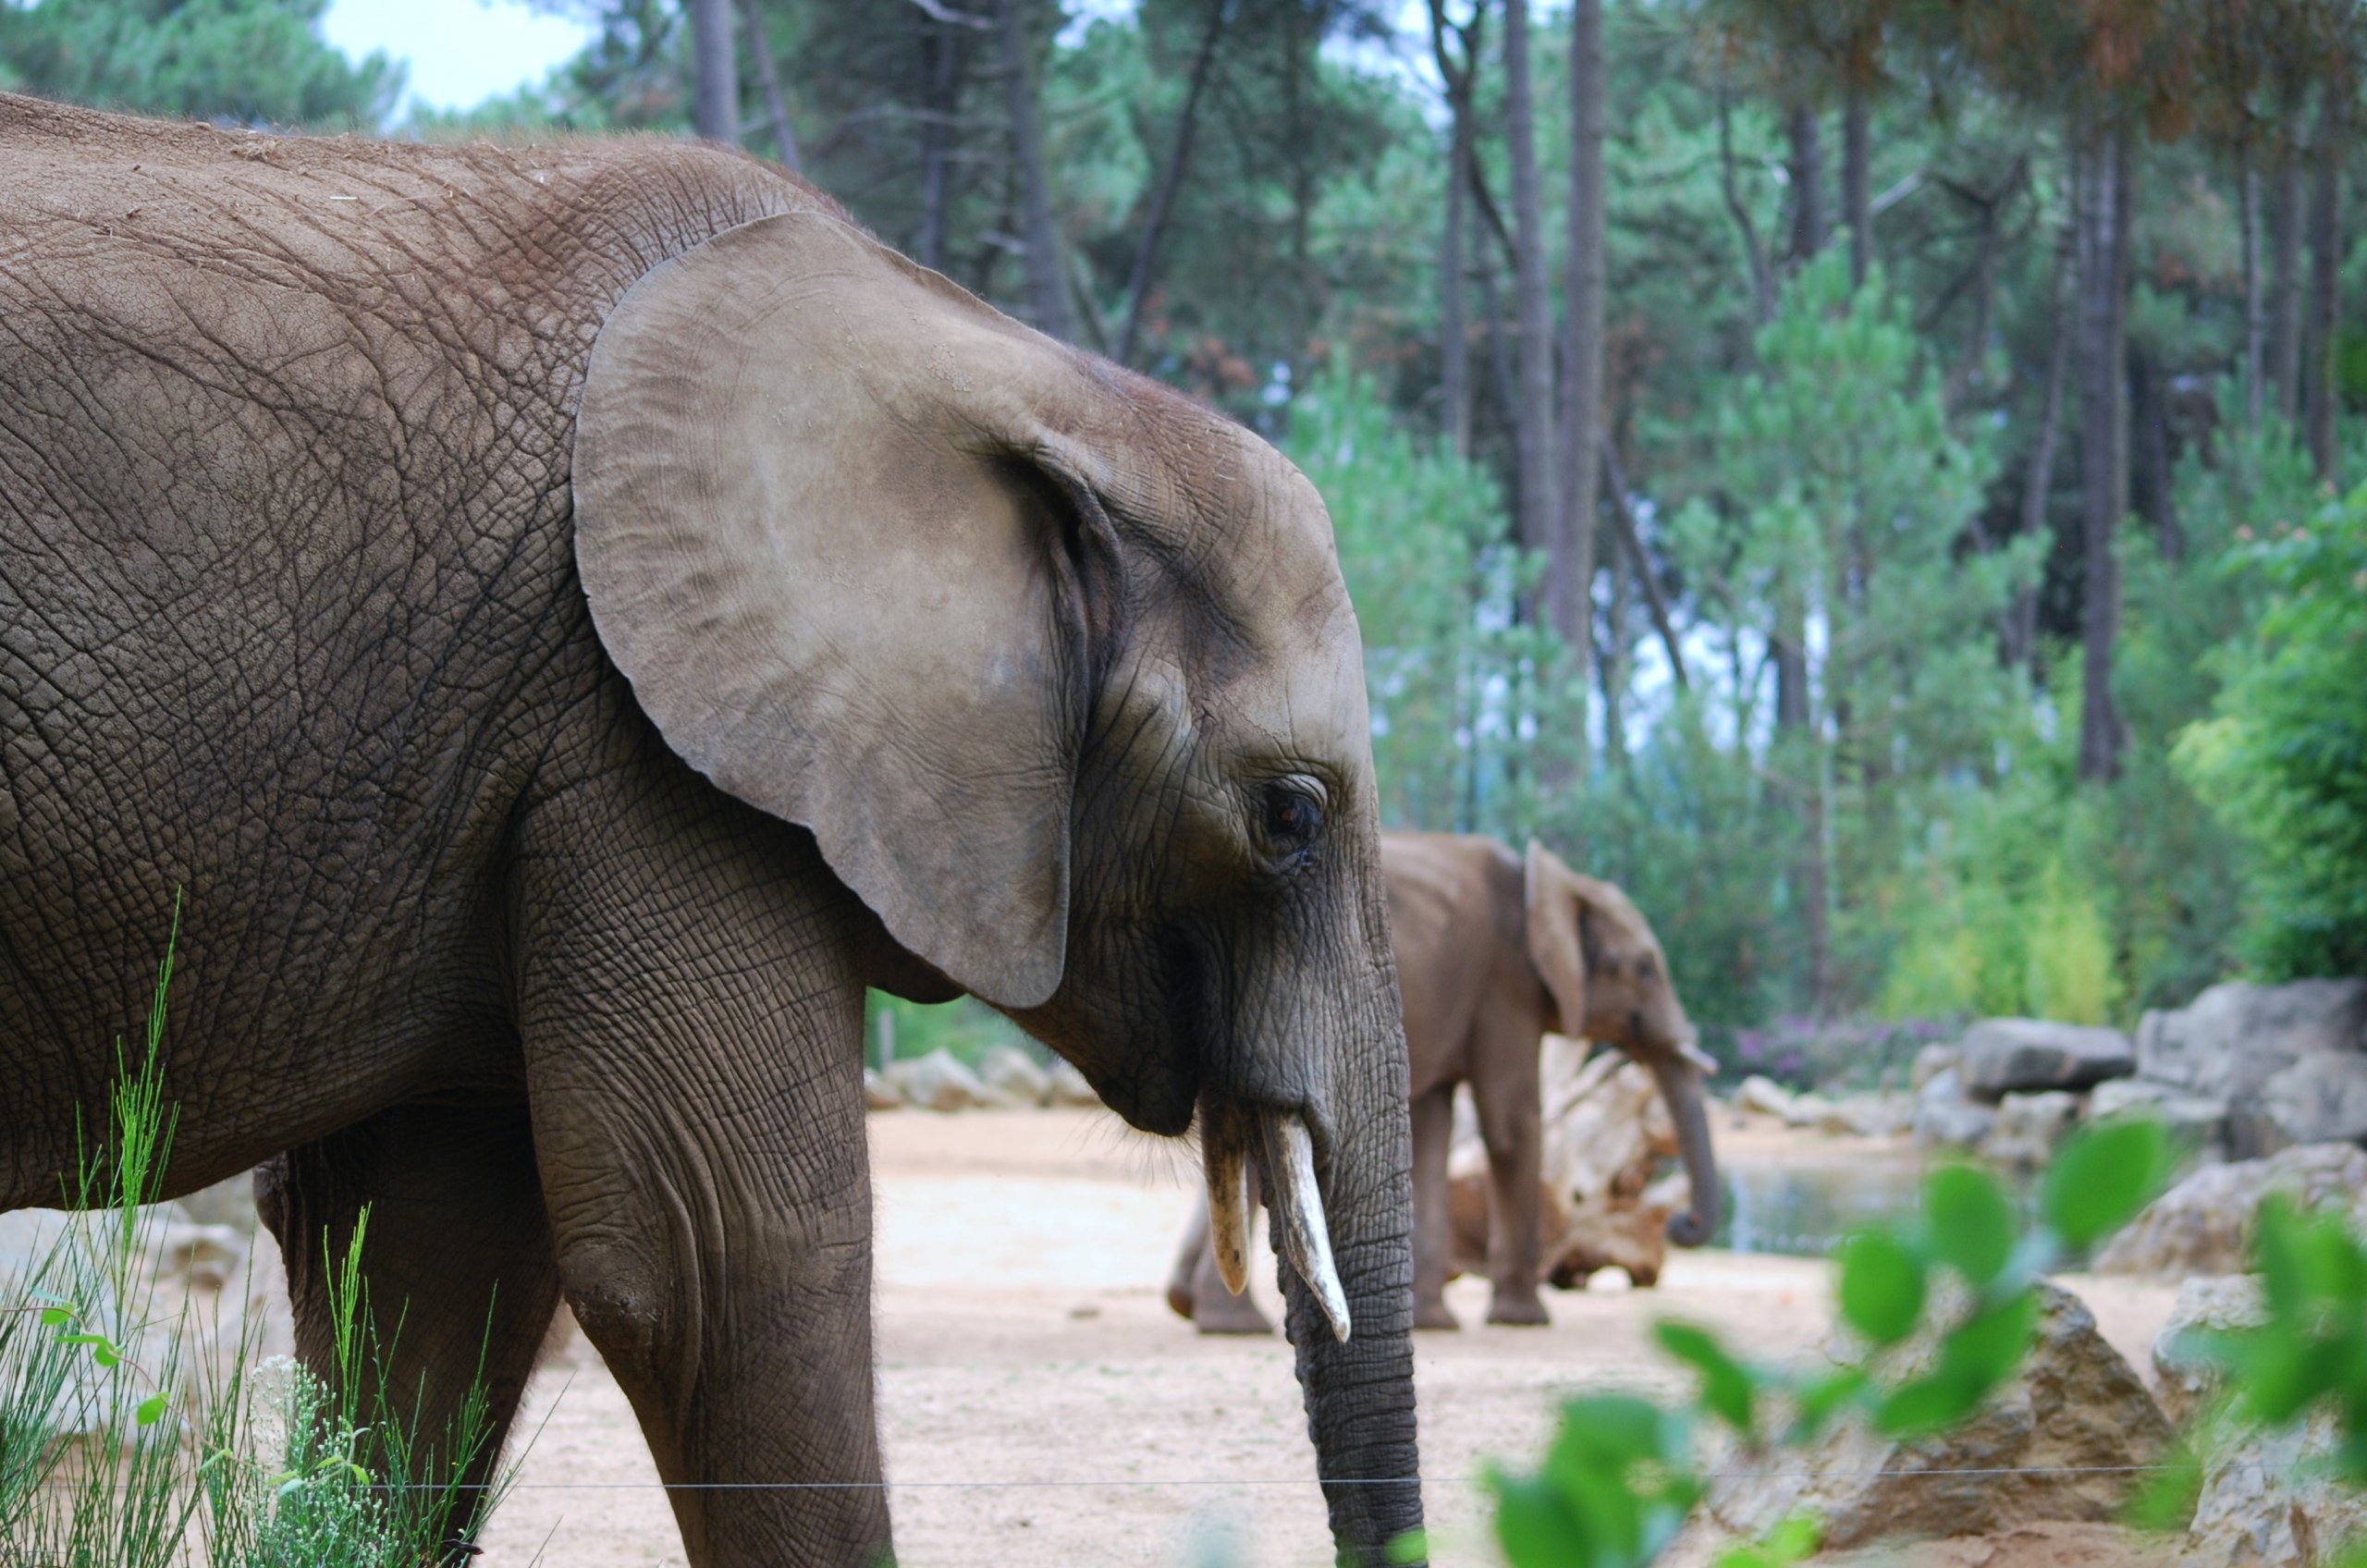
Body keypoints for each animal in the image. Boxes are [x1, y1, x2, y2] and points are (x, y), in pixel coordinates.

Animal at [0, 98, 1420, 1568]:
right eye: (1291, 816)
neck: (1017, 373)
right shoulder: (640, 737)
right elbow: (719, 1268)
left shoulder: (512, 758)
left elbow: (422, 1265)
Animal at [1169, 833, 1713, 1335]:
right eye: (1643, 969)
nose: (1686, 1224)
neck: (1550, 882)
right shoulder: (1506, 984)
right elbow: (1511, 1126)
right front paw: (1525, 1321)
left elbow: (1432, 1126)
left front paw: (1434, 1322)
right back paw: (1233, 1325)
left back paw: (1193, 1308)